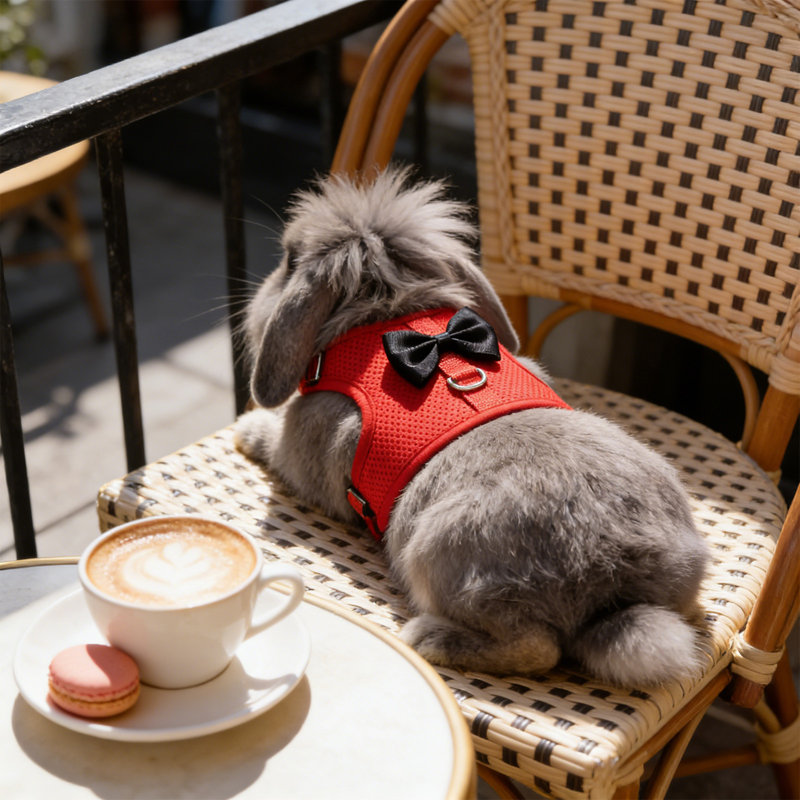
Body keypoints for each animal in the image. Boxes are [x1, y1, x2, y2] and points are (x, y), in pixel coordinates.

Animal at [235, 167, 710, 687]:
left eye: (287, 259)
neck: (385, 318)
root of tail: (607, 581)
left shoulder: (302, 456)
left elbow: (275, 445)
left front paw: (248, 428)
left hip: (439, 557)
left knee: (536, 648)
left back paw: (428, 638)